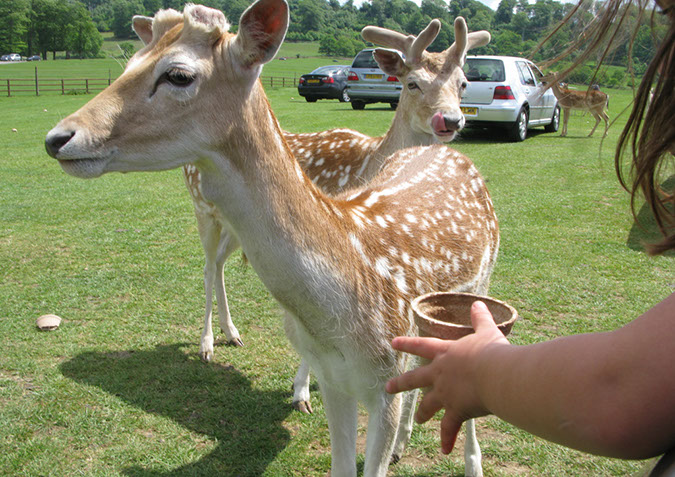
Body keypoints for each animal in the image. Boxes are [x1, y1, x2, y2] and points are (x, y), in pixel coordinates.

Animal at [42, 1, 496, 474]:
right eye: (129, 63)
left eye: (179, 75)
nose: (58, 137)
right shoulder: (337, 378)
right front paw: (299, 394)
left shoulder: (382, 381)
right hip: (205, 212)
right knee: (210, 266)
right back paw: (213, 341)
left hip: (477, 288)